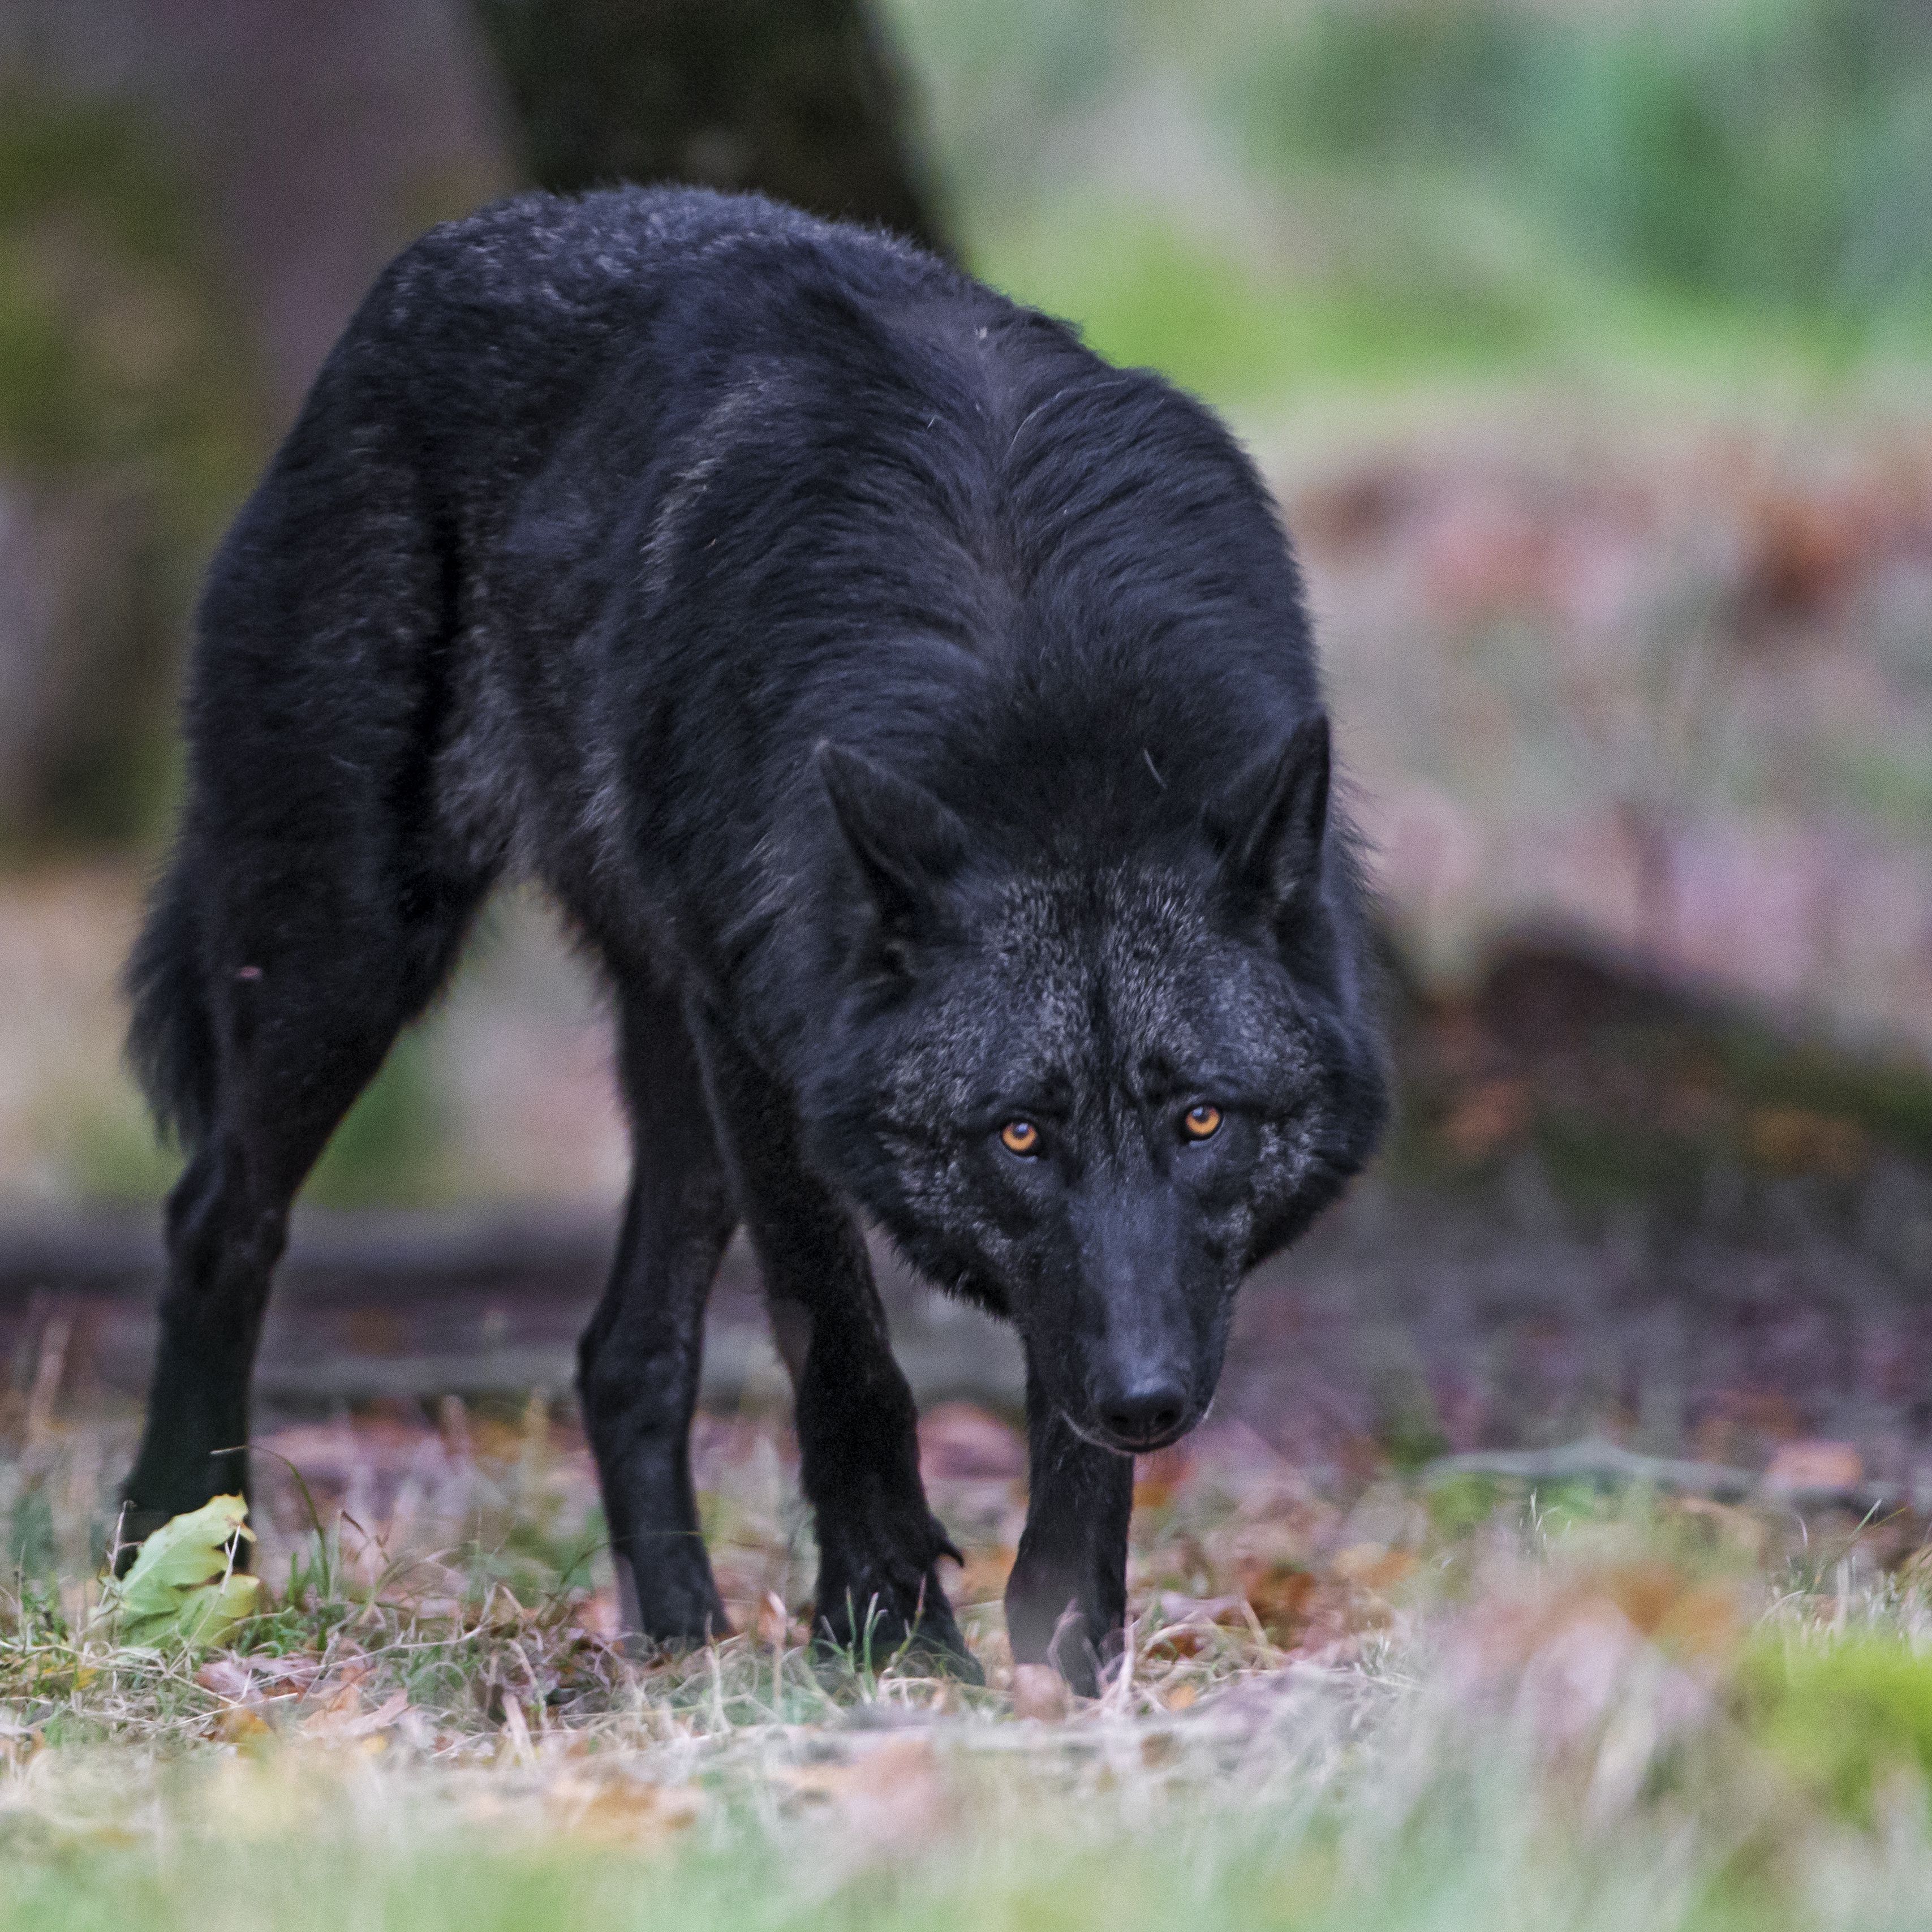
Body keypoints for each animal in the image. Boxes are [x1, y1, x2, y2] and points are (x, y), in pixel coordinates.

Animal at [124, 184, 1391, 1692]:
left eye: (1201, 1120)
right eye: (1018, 1134)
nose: (1145, 1397)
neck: (1046, 702)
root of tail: (453, 248)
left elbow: (1058, 1426)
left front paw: (1065, 1655)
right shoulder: (775, 1064)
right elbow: (843, 1352)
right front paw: (892, 1631)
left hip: (665, 1050)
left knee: (619, 1349)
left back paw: (680, 1639)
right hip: (351, 961)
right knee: (216, 1223)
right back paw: (177, 1561)